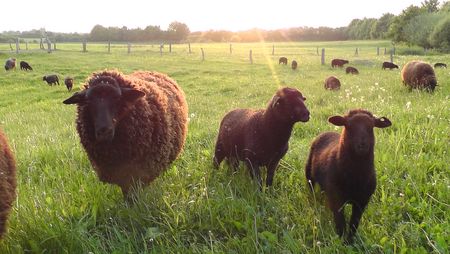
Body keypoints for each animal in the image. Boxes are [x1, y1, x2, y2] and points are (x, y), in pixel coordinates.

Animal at [304, 109, 392, 244]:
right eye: (348, 126)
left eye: (371, 126)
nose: (362, 145)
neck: (355, 176)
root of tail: (327, 132)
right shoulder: (337, 199)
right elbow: (340, 223)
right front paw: (342, 241)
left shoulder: (362, 202)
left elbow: (354, 223)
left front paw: (350, 241)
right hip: (309, 172)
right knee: (312, 189)